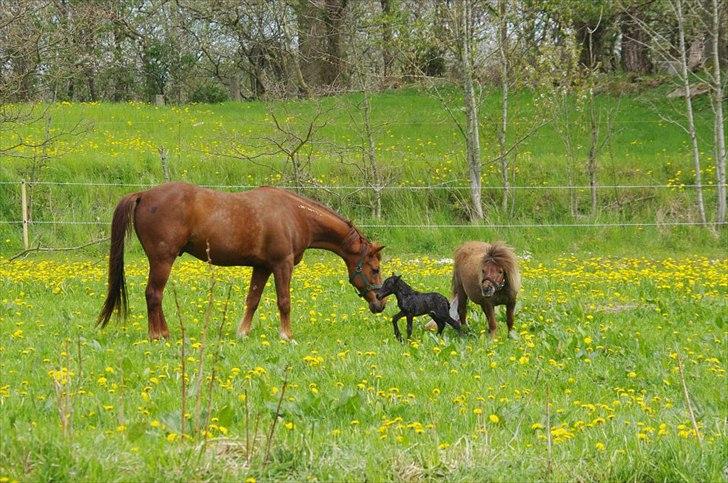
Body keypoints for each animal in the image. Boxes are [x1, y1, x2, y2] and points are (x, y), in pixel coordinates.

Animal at [96, 182, 386, 340]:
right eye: (375, 269)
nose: (380, 304)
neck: (294, 215)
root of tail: (144, 194)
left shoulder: (262, 267)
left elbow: (252, 300)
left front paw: (242, 332)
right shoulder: (282, 265)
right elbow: (284, 301)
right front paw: (286, 335)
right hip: (162, 260)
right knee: (153, 294)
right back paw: (157, 335)